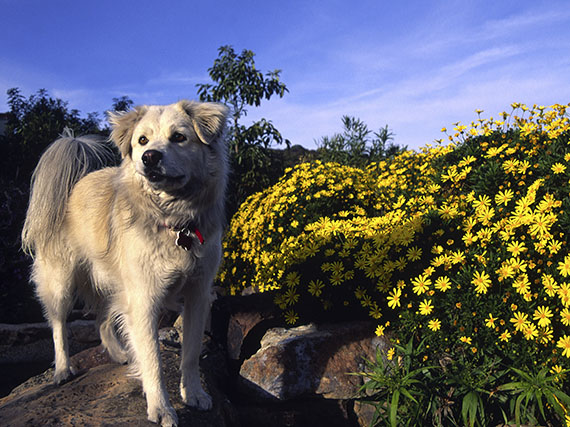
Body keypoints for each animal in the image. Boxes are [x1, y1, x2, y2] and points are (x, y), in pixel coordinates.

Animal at [20, 101, 229, 427]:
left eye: (179, 137)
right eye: (142, 141)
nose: (150, 157)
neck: (173, 218)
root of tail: (74, 185)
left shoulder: (197, 294)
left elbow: (192, 352)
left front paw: (193, 393)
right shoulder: (144, 300)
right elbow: (153, 359)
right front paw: (161, 408)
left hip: (112, 284)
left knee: (103, 321)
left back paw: (119, 355)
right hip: (61, 283)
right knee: (58, 326)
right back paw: (63, 369)